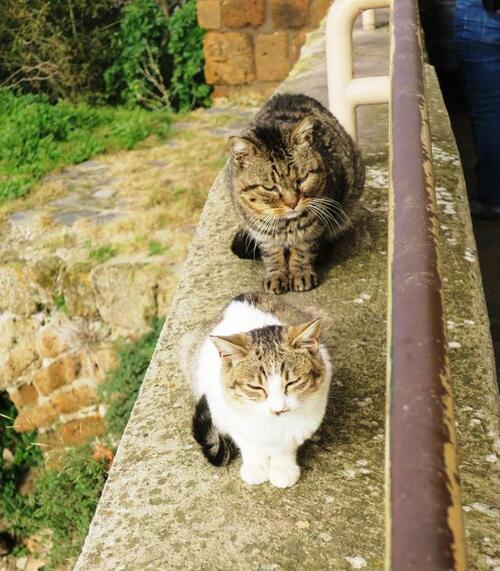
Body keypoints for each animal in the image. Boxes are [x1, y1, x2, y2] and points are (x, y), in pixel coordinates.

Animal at [183, 292, 332, 490]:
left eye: (293, 382)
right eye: (255, 387)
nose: (278, 409)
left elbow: (285, 445)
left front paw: (282, 468)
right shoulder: (228, 415)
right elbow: (249, 444)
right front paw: (255, 466)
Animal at [227, 93, 364, 294]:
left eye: (302, 179)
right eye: (270, 188)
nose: (292, 203)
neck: (286, 225)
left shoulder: (315, 223)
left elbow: (303, 250)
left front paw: (300, 273)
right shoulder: (262, 232)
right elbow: (272, 254)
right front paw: (276, 275)